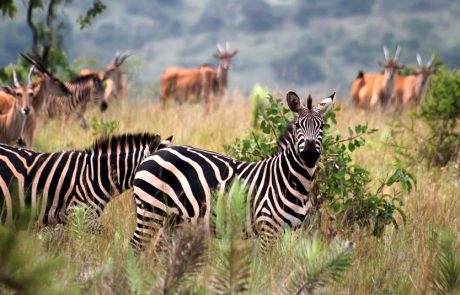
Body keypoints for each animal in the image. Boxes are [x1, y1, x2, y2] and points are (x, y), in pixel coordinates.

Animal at [131, 90, 336, 250]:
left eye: (323, 126)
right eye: (298, 125)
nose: (309, 153)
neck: (292, 182)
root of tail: (153, 154)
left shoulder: (294, 230)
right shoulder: (267, 229)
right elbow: (264, 268)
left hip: (173, 219)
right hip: (151, 209)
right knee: (136, 245)